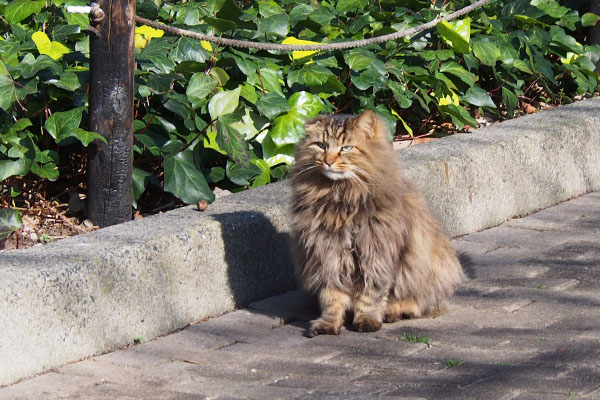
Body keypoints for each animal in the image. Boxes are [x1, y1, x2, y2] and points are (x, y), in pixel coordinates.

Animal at [290, 110, 464, 338]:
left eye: (346, 148)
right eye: (321, 145)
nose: (328, 161)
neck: (341, 198)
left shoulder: (376, 254)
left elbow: (371, 295)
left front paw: (367, 320)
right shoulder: (326, 254)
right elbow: (331, 298)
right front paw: (328, 324)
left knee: (418, 303)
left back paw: (391, 312)